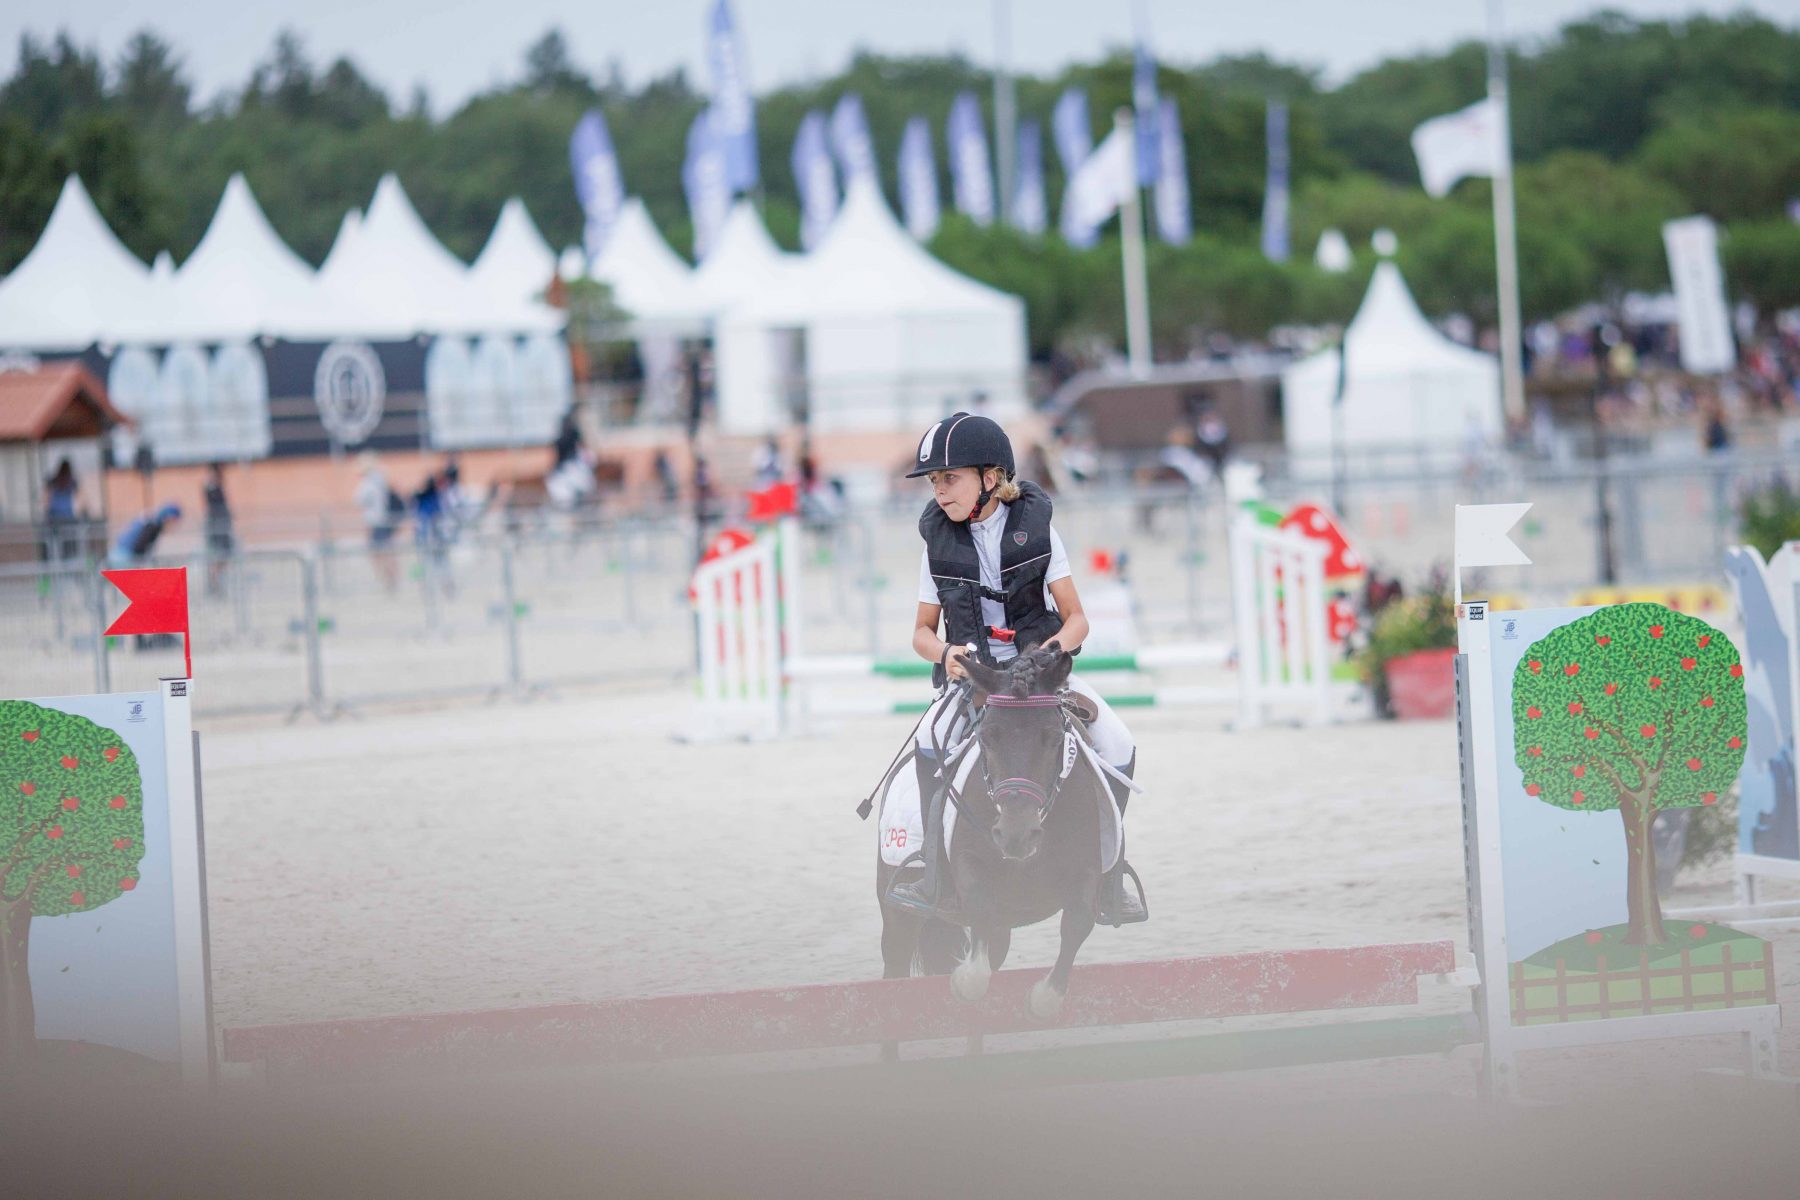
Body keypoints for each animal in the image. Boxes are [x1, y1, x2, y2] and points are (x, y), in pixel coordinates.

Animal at [875, 644, 1110, 1022]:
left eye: (1054, 738)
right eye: (986, 737)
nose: (1017, 836)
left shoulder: (1087, 865)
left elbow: (1078, 922)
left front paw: (1044, 998)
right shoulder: (968, 863)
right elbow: (979, 909)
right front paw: (964, 980)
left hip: (1002, 927)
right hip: (898, 915)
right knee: (894, 967)